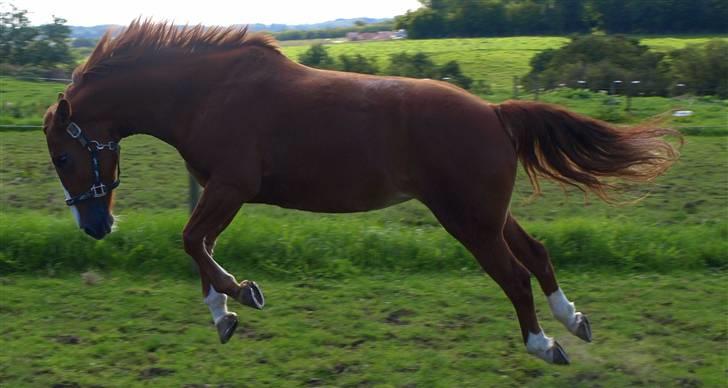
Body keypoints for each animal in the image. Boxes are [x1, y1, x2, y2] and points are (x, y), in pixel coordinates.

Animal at [42, 22, 680, 364]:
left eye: (64, 156)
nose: (95, 227)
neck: (206, 92)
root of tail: (495, 113)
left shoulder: (231, 186)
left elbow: (193, 242)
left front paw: (243, 295)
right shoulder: (217, 190)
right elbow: (199, 249)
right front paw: (224, 314)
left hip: (468, 220)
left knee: (516, 276)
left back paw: (543, 344)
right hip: (489, 215)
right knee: (540, 256)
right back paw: (574, 320)